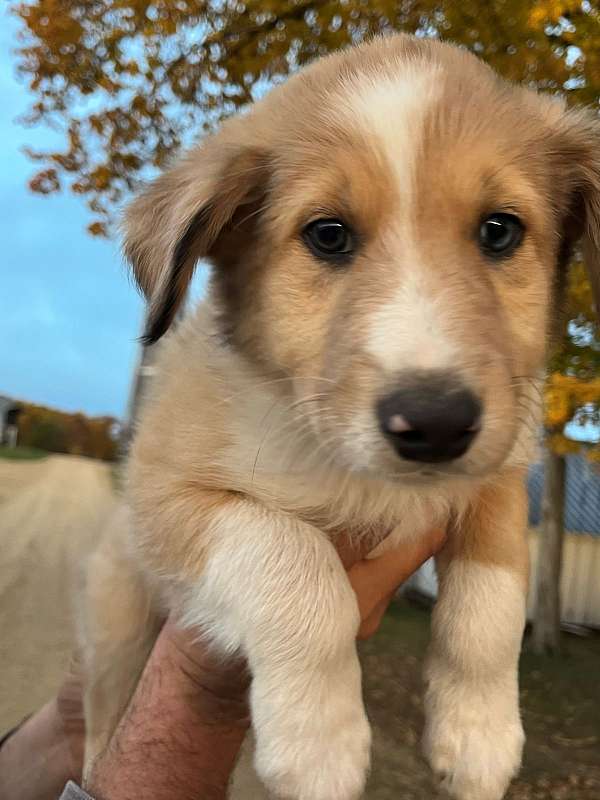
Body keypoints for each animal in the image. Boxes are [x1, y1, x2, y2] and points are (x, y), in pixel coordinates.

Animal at [82, 34, 600, 800]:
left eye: (500, 231)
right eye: (328, 236)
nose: (436, 424)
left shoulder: (499, 477)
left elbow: (493, 601)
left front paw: (478, 734)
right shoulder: (165, 495)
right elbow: (293, 558)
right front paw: (319, 741)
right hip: (116, 613)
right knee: (101, 716)